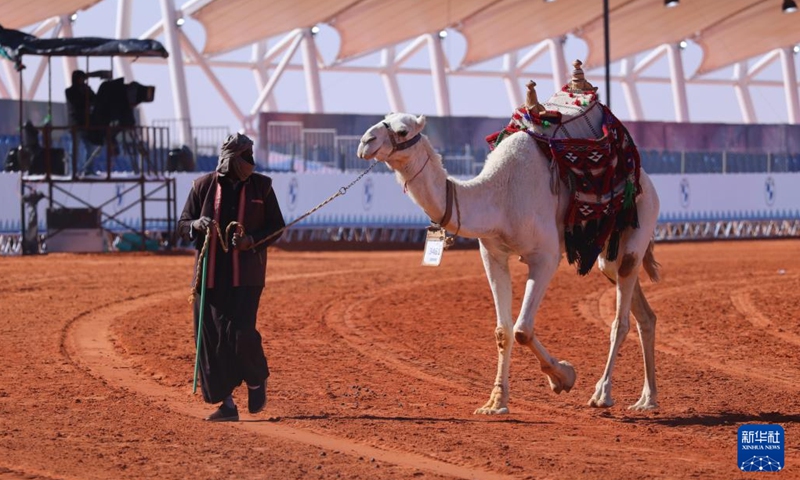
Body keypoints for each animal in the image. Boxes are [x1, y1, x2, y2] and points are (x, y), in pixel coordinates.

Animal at [356, 78, 660, 414]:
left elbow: (522, 329)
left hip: (639, 224)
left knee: (621, 319)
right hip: (608, 253)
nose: (365, 141)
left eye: (402, 130)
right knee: (643, 314)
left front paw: (564, 377)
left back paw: (603, 394)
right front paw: (495, 402)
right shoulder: (493, 254)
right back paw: (647, 399)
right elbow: (503, 331)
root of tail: (646, 179)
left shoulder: (546, 256)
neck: (498, 196)